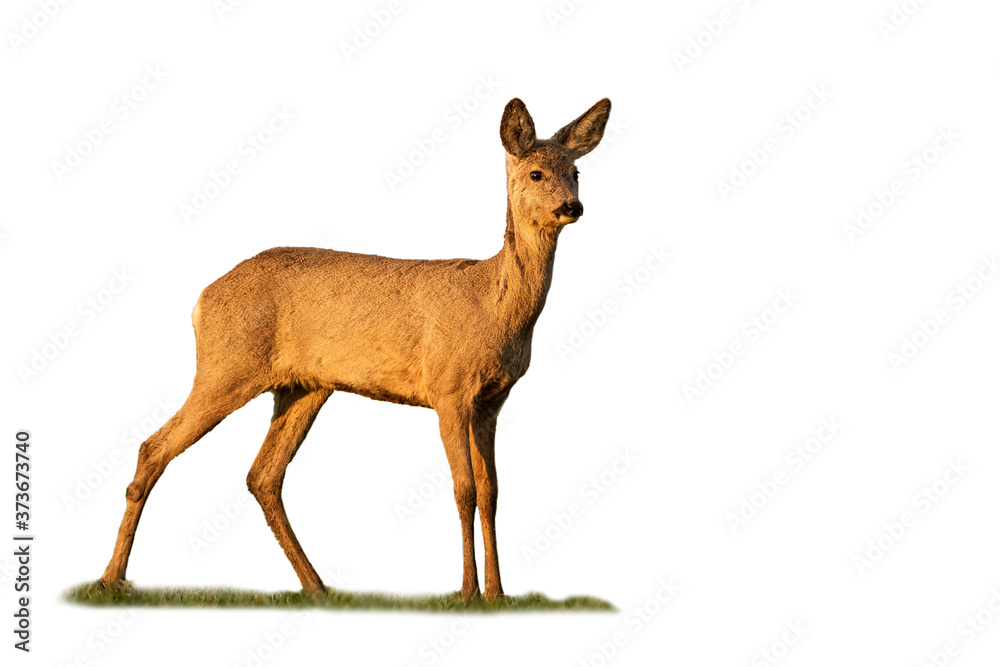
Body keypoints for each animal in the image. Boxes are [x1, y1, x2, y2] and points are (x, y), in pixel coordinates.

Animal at [99, 97, 612, 601]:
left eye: (576, 171)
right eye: (536, 173)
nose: (573, 206)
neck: (493, 303)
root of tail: (201, 300)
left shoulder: (492, 399)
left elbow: (492, 492)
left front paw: (499, 595)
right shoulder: (447, 388)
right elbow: (464, 489)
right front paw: (467, 593)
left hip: (303, 387)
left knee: (262, 474)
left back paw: (317, 585)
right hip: (226, 366)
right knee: (154, 447)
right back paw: (111, 577)